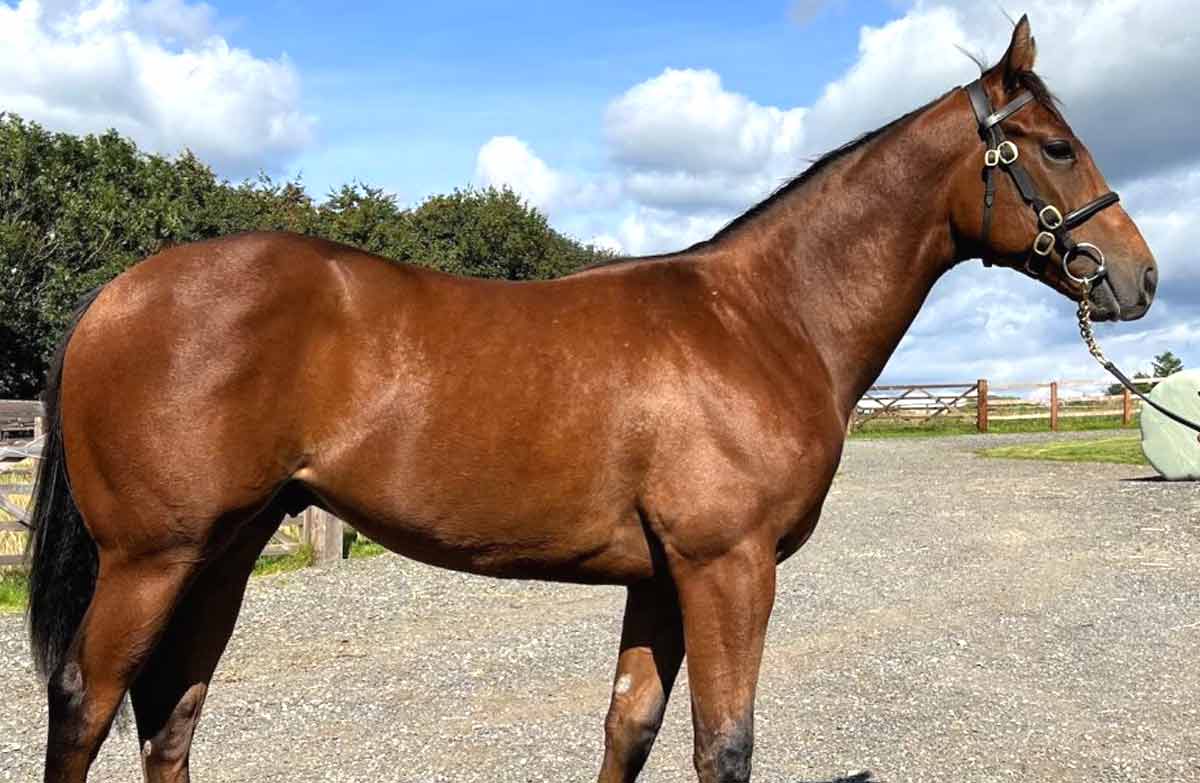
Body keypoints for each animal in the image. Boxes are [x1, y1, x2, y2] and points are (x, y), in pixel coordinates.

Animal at [27, 16, 1157, 783]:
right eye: (1057, 146)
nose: (1138, 278)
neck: (762, 316)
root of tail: (119, 291)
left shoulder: (660, 578)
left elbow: (632, 727)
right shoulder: (727, 567)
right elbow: (723, 744)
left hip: (225, 548)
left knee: (171, 711)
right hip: (152, 557)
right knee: (86, 704)